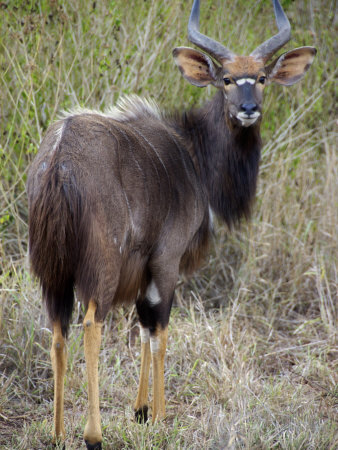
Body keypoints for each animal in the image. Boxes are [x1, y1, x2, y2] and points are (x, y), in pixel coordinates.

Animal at [27, 0, 316, 448]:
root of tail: (58, 161)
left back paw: (58, 434)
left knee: (58, 331)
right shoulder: (167, 259)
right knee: (91, 324)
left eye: (262, 77)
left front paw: (141, 410)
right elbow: (159, 331)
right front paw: (160, 416)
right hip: (100, 266)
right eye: (226, 79)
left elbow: (145, 327)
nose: (248, 109)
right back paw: (93, 434)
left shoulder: (145, 269)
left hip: (52, 273)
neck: (192, 154)